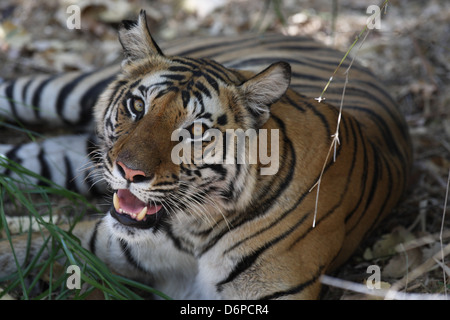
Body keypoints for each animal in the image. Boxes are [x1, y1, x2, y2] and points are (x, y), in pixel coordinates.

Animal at [0, 10, 412, 300]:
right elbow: (16, 249)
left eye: (195, 132)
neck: (193, 234)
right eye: (137, 106)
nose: (128, 171)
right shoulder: (82, 241)